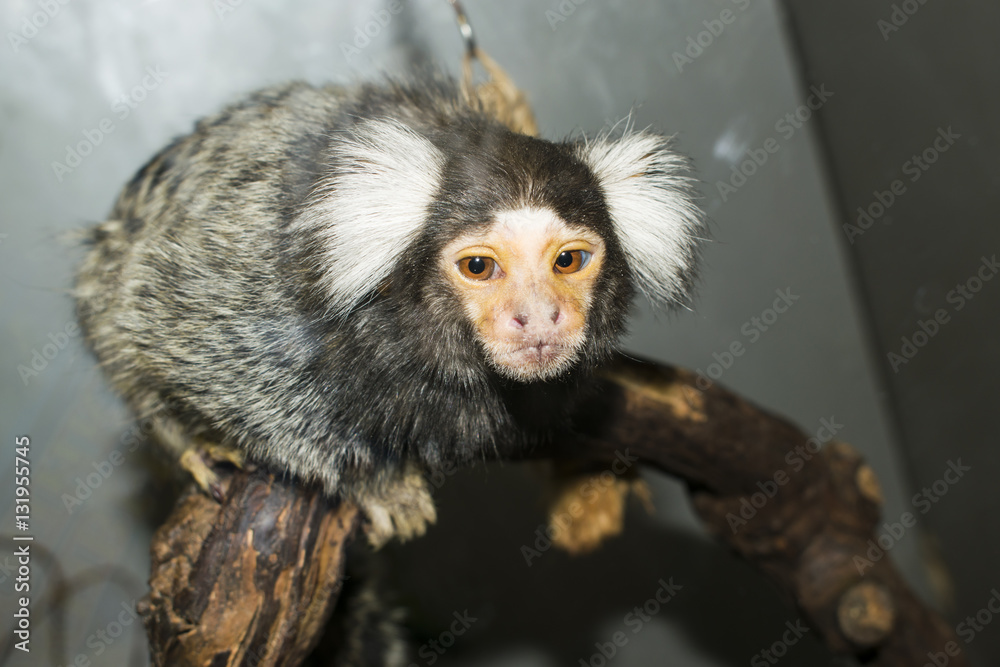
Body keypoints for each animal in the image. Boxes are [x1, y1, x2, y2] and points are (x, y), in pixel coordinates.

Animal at [74, 74, 704, 549]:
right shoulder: (255, 285)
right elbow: (201, 360)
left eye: (569, 261)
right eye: (480, 267)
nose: (540, 316)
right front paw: (377, 484)